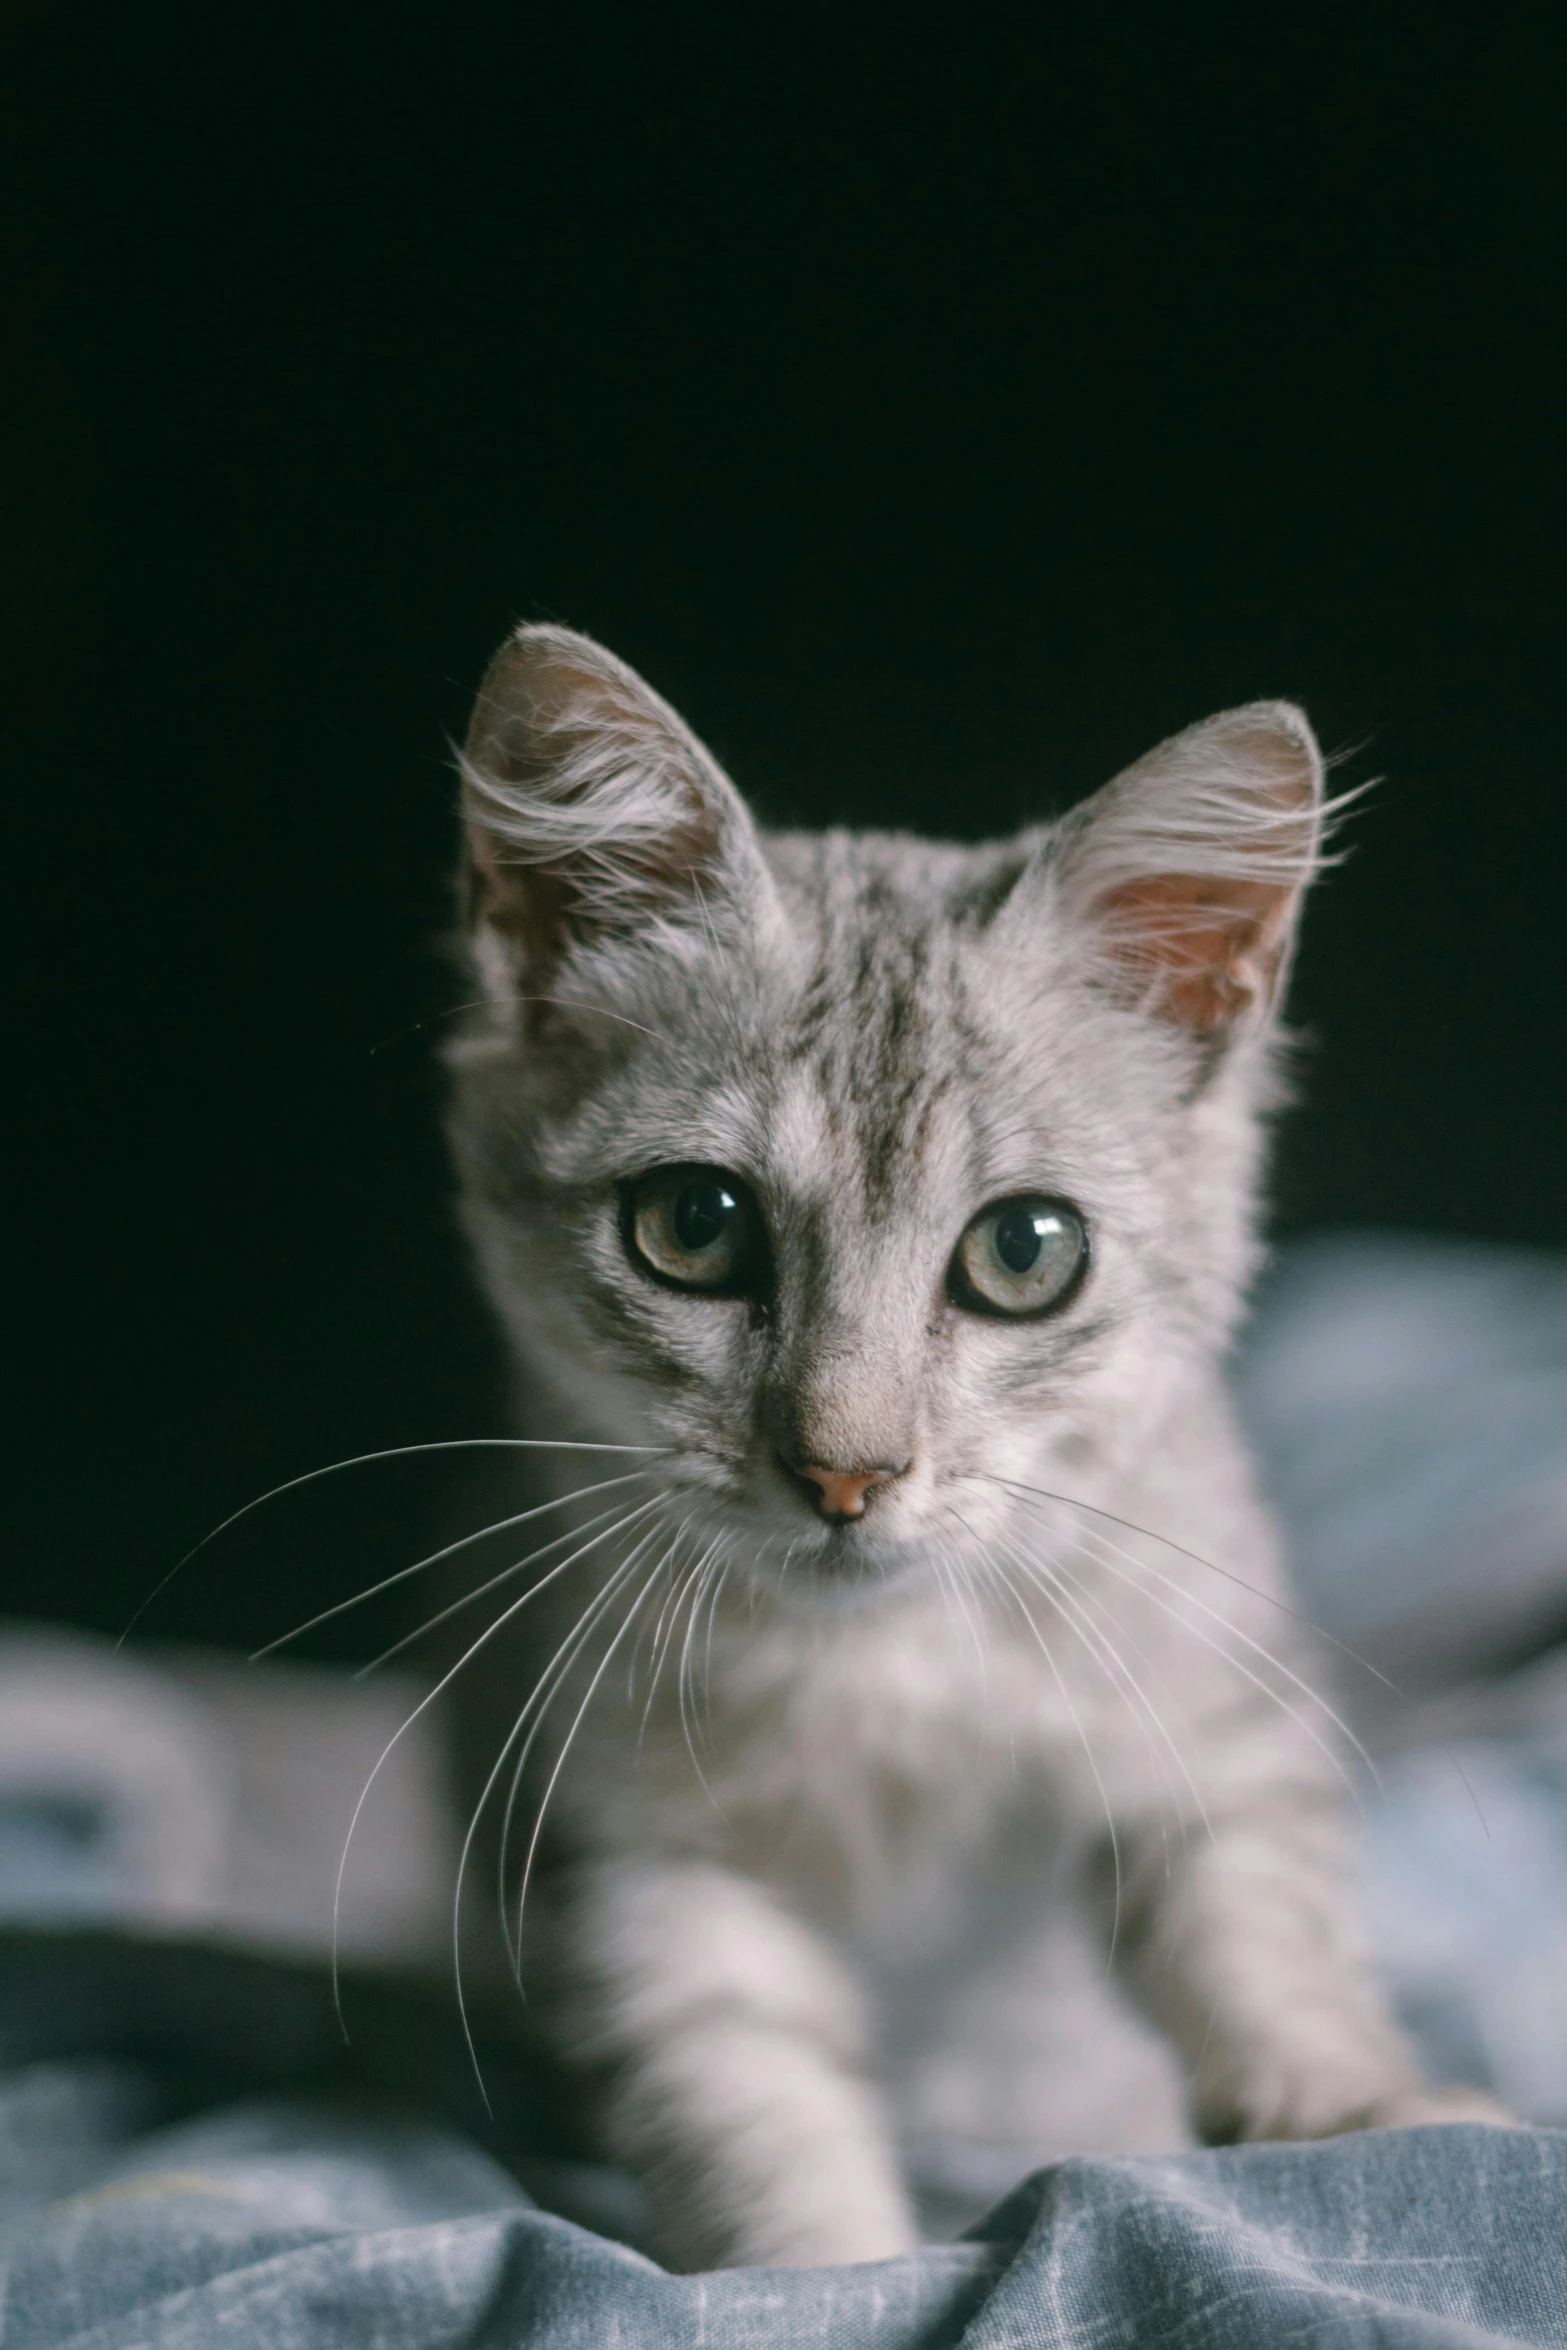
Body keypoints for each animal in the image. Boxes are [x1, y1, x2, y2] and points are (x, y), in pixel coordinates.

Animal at [439, 615, 1494, 2265]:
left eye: (1025, 1250)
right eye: (693, 1224)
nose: (845, 1468)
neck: (887, 1664)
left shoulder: (1210, 1707)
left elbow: (1260, 1925)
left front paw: (1357, 2100)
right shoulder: (633, 1848)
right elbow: (741, 2088)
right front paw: (823, 2265)